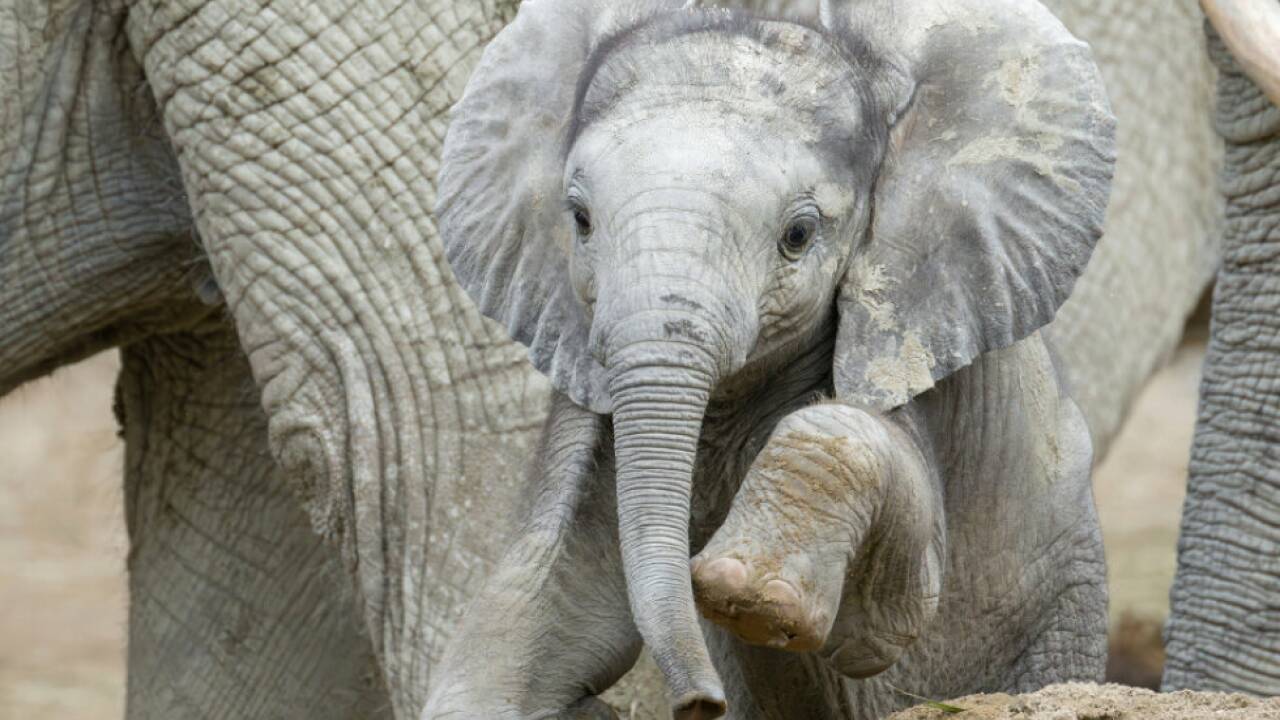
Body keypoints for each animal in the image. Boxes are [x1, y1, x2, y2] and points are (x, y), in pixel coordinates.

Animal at [0, 0, 1225, 719]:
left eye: (799, 235)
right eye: (579, 219)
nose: (699, 706)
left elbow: (887, 620)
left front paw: (740, 591)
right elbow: (550, 591)